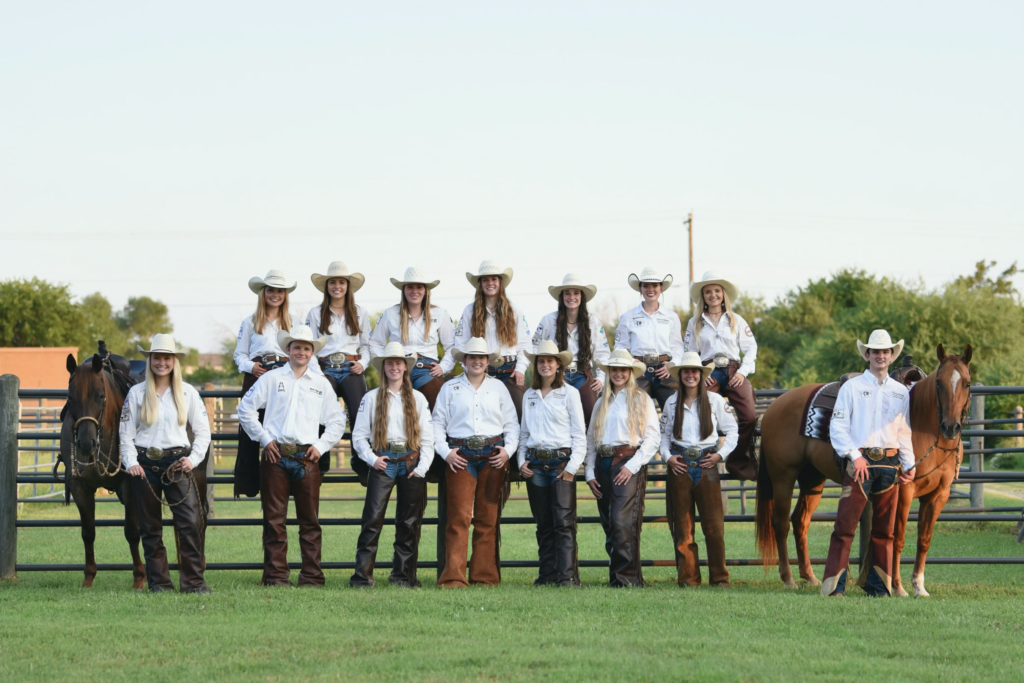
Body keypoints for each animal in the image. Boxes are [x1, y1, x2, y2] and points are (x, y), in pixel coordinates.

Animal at [757, 344, 970, 593]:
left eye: (967, 383)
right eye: (939, 383)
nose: (951, 427)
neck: (922, 425)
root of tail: (773, 407)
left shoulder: (939, 495)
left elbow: (924, 539)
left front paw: (919, 587)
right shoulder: (904, 491)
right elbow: (898, 537)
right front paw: (897, 587)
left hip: (812, 479)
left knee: (800, 521)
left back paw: (810, 576)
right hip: (783, 476)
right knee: (780, 523)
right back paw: (788, 578)